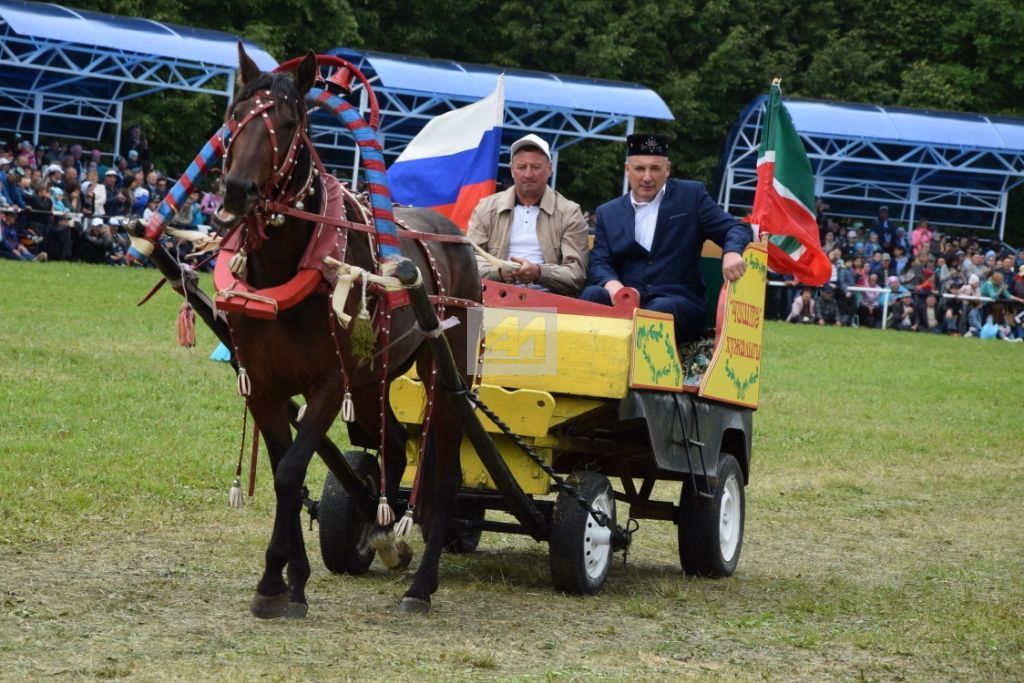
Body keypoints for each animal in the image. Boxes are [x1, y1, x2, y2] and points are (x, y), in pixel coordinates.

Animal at [216, 45, 479, 618]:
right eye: (235, 115)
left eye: (288, 122)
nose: (238, 190)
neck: (282, 268)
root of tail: (452, 232)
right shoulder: (265, 386)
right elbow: (283, 472)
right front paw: (287, 580)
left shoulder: (329, 383)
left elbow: (292, 470)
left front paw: (278, 579)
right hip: (373, 378)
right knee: (396, 449)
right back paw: (383, 532)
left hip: (443, 373)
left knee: (445, 479)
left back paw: (420, 587)